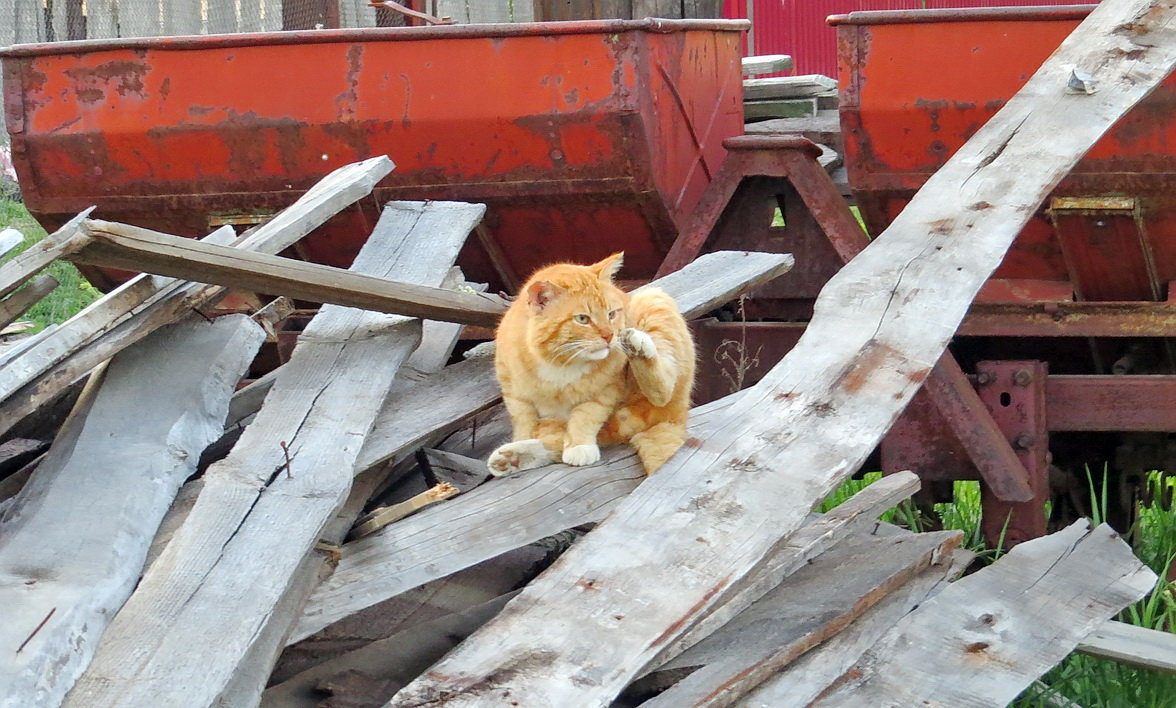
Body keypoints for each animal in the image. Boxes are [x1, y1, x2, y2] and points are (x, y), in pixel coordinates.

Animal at [489, 250, 691, 477]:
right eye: (582, 319)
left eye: (611, 314)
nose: (610, 336)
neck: (559, 361)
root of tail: (673, 418)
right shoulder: (514, 393)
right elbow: (524, 423)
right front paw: (523, 440)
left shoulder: (605, 389)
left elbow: (585, 415)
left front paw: (579, 446)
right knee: (556, 439)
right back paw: (512, 458)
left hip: (651, 298)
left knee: (662, 392)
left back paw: (637, 346)